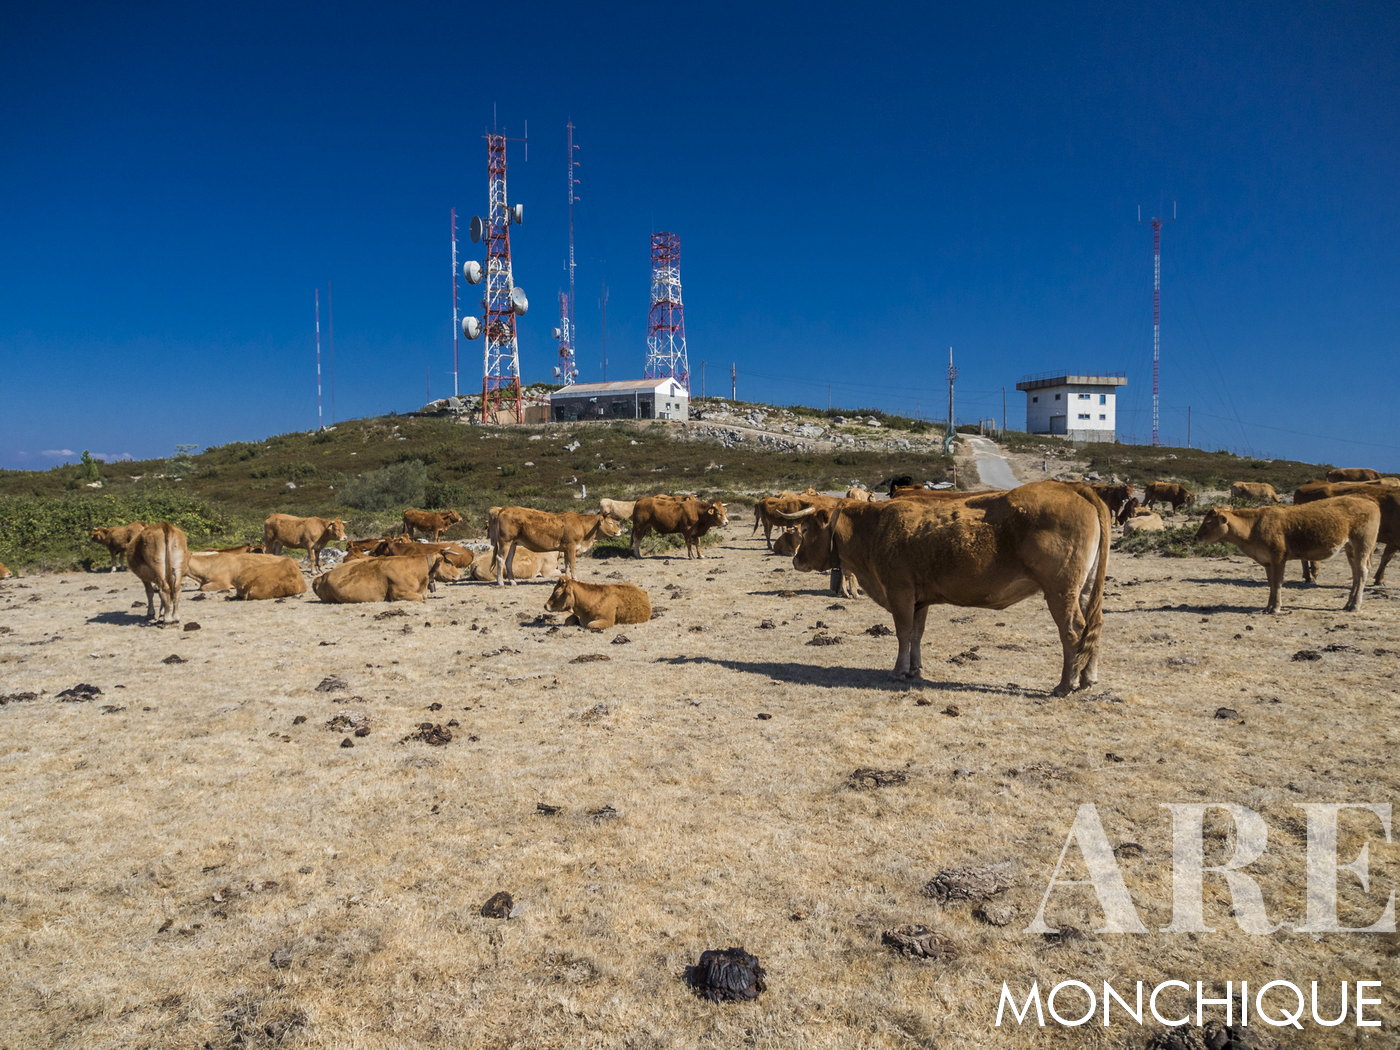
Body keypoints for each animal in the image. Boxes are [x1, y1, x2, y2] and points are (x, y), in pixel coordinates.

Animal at [489, 507, 622, 585]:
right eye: (610, 523)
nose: (620, 531)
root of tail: (504, 509)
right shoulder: (571, 546)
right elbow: (572, 564)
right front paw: (575, 579)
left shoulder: (566, 549)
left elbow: (567, 565)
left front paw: (568, 580)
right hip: (505, 541)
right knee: (500, 558)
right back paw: (500, 582)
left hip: (513, 543)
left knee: (508, 560)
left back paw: (512, 581)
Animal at [778, 481, 1109, 695]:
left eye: (805, 529)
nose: (796, 559)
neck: (873, 529)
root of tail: (1073, 488)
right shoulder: (920, 599)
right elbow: (916, 634)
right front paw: (915, 669)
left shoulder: (900, 592)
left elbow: (903, 632)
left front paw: (899, 671)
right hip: (1084, 589)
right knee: (1093, 626)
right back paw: (1087, 677)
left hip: (1060, 591)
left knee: (1073, 630)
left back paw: (1066, 684)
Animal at [1194, 497, 1380, 613]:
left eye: (1208, 522)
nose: (1196, 537)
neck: (1253, 527)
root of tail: (1369, 502)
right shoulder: (1267, 562)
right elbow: (1271, 583)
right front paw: (1268, 607)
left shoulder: (1278, 557)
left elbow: (1277, 583)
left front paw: (1275, 608)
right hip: (1350, 549)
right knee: (1355, 573)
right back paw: (1348, 604)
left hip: (1363, 545)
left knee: (1362, 572)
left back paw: (1355, 605)